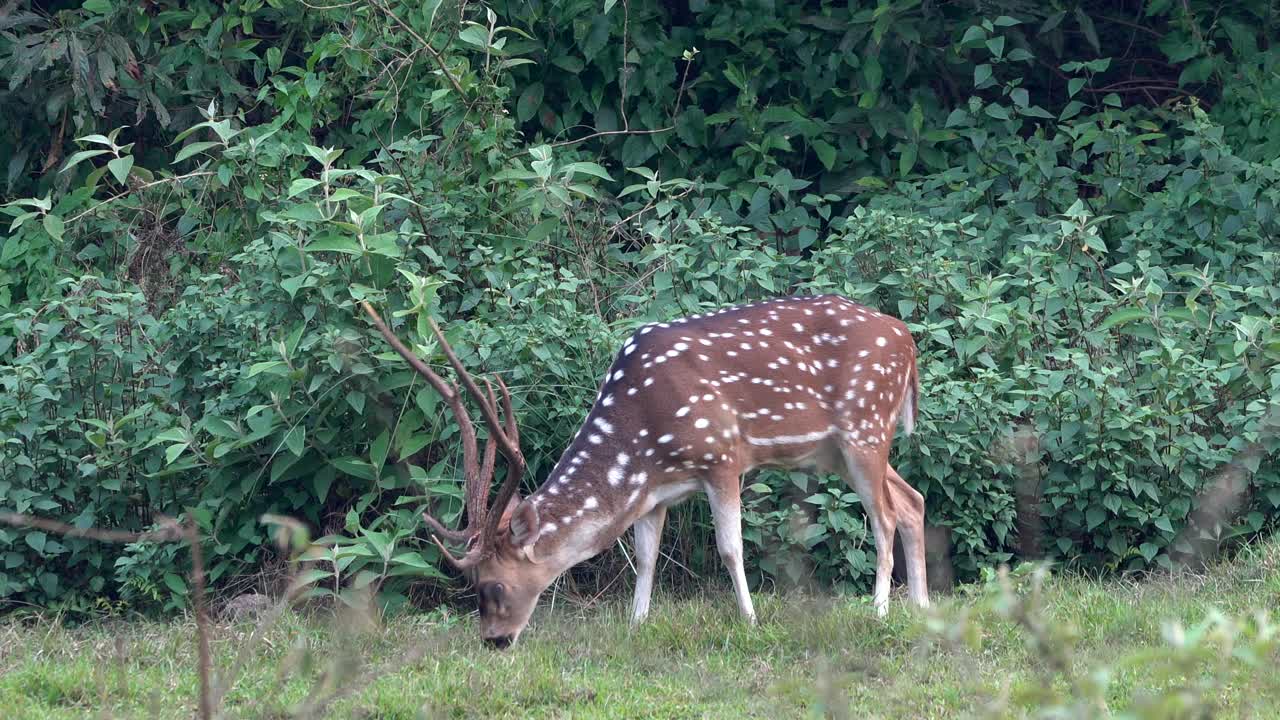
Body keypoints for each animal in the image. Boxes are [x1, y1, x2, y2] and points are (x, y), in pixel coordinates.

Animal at [360, 293, 929, 649]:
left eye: (493, 585)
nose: (494, 641)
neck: (641, 436)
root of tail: (908, 340)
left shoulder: (722, 456)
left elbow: (729, 547)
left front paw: (749, 622)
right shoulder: (655, 492)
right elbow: (646, 558)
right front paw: (636, 626)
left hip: (864, 426)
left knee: (882, 516)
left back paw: (880, 610)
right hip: (837, 450)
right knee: (912, 500)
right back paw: (922, 607)